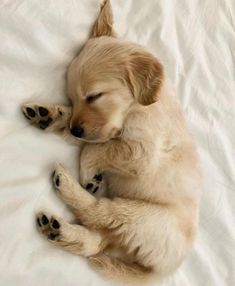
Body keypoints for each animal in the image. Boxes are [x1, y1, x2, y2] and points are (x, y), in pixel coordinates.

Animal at [21, 0, 202, 284]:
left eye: (94, 96)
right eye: (72, 98)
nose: (76, 129)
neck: (136, 108)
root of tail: (163, 271)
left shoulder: (141, 152)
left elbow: (94, 148)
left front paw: (89, 174)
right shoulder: (106, 135)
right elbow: (92, 140)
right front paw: (52, 116)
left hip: (138, 216)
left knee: (99, 213)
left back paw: (68, 185)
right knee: (95, 242)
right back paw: (58, 230)